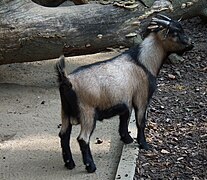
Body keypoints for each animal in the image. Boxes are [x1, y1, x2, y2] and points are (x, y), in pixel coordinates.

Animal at [55, 14, 193, 173]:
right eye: (175, 32)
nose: (191, 44)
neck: (142, 62)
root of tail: (66, 80)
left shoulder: (126, 101)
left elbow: (124, 120)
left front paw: (127, 139)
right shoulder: (141, 98)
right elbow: (141, 122)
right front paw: (144, 144)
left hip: (64, 111)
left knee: (63, 135)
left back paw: (69, 163)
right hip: (87, 113)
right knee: (83, 139)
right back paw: (90, 166)